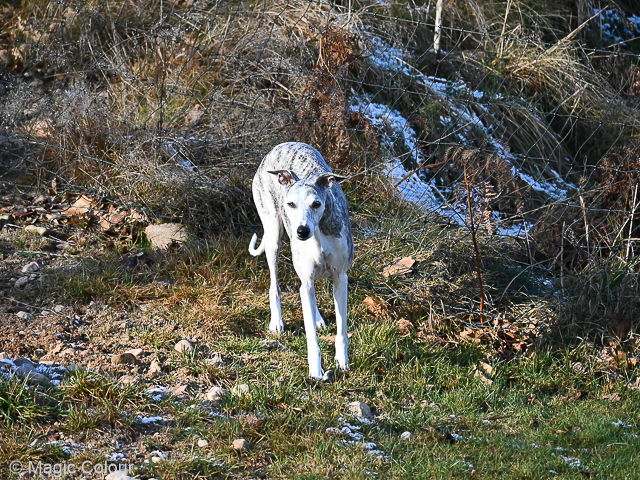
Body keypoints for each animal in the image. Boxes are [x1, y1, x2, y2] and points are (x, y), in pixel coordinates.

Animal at [249, 142, 356, 378]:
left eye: (316, 204)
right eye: (291, 204)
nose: (301, 231)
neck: (318, 233)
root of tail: (279, 146)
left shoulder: (340, 279)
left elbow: (342, 329)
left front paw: (342, 362)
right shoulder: (306, 280)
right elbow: (311, 338)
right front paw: (315, 371)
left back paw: (317, 319)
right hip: (273, 236)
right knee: (275, 286)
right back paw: (277, 322)